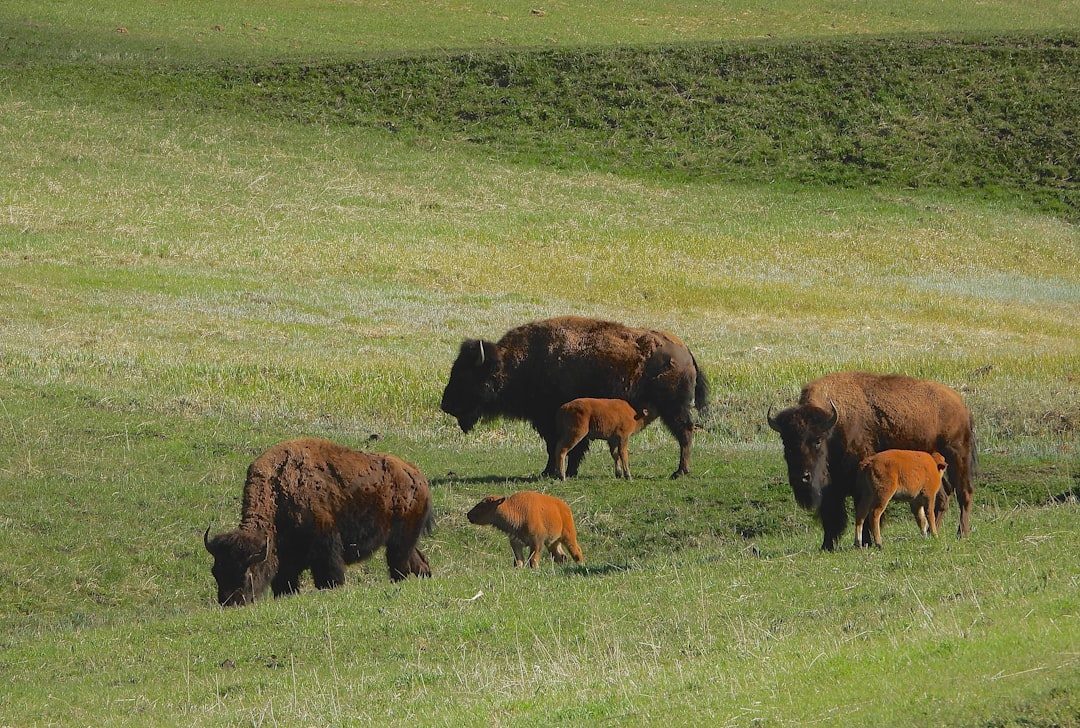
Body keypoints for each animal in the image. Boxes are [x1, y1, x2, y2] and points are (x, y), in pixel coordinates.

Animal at [204, 438, 433, 606]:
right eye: (215, 572)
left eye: (246, 574)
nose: (230, 603)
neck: (278, 489)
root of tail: (417, 475)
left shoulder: (326, 547)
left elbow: (329, 576)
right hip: (403, 541)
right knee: (418, 561)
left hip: (399, 542)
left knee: (400, 565)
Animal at [440, 316, 709, 479]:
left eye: (466, 375)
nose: (445, 405)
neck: (517, 362)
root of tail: (685, 351)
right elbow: (562, 447)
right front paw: (557, 471)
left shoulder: (551, 420)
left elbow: (559, 446)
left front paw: (554, 472)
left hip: (673, 409)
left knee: (685, 433)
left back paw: (680, 472)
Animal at [767, 372, 976, 550]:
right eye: (786, 442)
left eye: (817, 440)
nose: (801, 477)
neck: (835, 427)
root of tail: (961, 404)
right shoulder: (832, 489)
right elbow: (831, 514)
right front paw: (827, 545)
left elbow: (862, 512)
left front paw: (866, 541)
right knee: (942, 497)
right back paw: (933, 533)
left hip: (957, 456)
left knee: (963, 493)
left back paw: (961, 534)